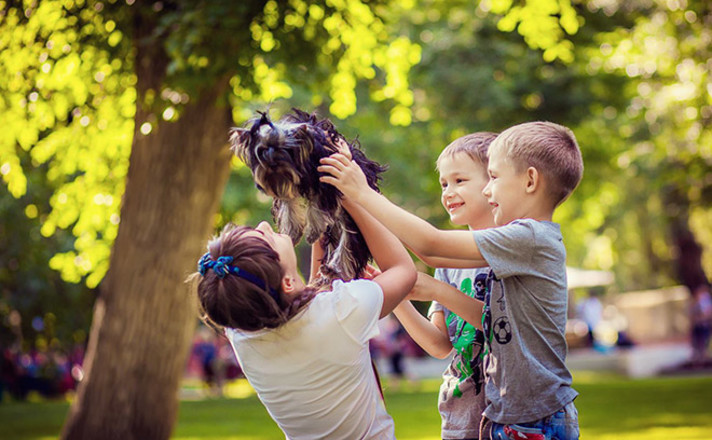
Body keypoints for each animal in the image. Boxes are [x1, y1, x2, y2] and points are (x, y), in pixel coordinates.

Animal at [229, 108, 386, 284]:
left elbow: (316, 205)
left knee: (349, 241)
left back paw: (336, 269)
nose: (272, 163)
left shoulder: (326, 179)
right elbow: (288, 207)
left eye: (285, 149)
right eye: (262, 150)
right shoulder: (283, 185)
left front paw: (312, 233)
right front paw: (291, 233)